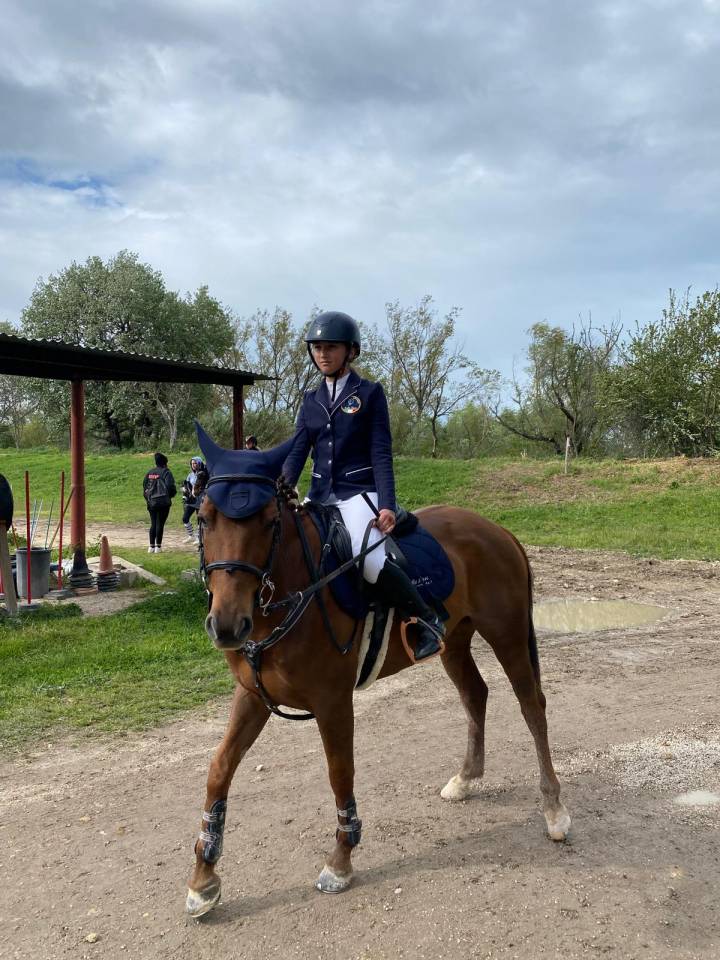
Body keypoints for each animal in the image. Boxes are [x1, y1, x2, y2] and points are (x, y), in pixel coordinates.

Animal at [186, 430, 571, 917]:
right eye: (205, 517)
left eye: (270, 521)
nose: (227, 625)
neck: (296, 586)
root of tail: (496, 529)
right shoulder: (253, 696)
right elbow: (219, 768)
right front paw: (204, 877)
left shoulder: (333, 700)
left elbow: (340, 772)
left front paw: (340, 861)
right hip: (454, 643)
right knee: (475, 695)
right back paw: (465, 779)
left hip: (507, 635)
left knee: (531, 706)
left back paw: (554, 810)